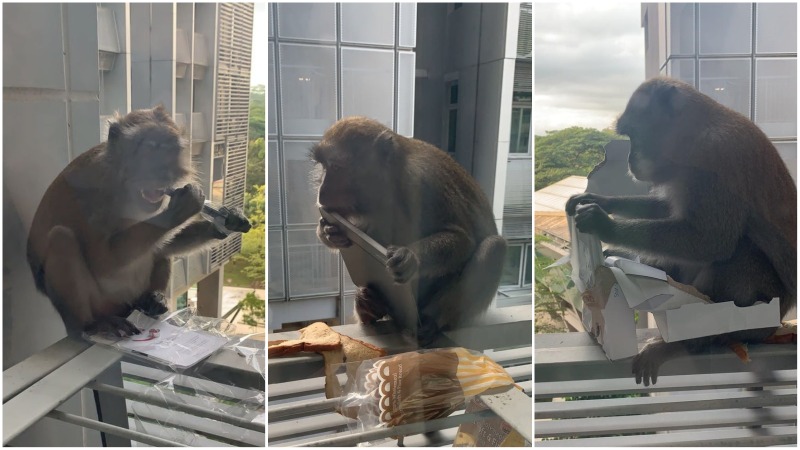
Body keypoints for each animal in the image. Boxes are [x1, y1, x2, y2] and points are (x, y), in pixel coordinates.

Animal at [25, 106, 250, 338]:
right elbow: (103, 262)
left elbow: (166, 243)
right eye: (148, 150)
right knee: (62, 238)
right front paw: (181, 208)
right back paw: (90, 324)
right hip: (102, 303)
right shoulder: (92, 191)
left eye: (169, 151)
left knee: (159, 248)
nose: (162, 171)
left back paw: (153, 300)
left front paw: (225, 220)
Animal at [310, 116, 506, 344]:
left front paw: (410, 257)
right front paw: (330, 232)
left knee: (494, 247)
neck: (391, 183)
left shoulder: (424, 180)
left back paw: (432, 321)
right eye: (323, 167)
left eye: (337, 167)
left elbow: (462, 240)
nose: (321, 191)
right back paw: (369, 303)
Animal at [564, 76, 796, 384]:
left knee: (739, 253)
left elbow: (712, 241)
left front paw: (605, 225)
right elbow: (668, 210)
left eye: (635, 134)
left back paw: (690, 342)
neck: (695, 135)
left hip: (764, 314)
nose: (630, 158)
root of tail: (777, 322)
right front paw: (602, 201)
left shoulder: (716, 156)